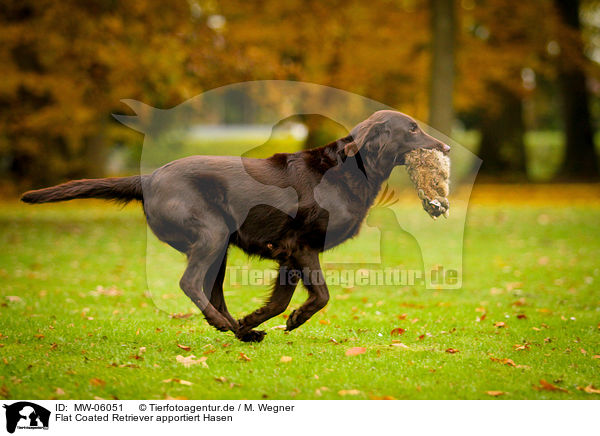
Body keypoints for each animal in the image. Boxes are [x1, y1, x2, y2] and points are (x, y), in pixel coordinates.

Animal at [21, 110, 448, 342]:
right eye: (411, 129)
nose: (445, 147)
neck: (348, 171)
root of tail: (148, 178)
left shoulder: (288, 255)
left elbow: (278, 301)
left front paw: (257, 320)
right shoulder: (303, 244)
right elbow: (321, 296)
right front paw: (294, 319)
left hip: (221, 247)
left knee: (212, 291)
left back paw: (240, 331)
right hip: (210, 234)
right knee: (190, 283)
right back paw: (225, 326)